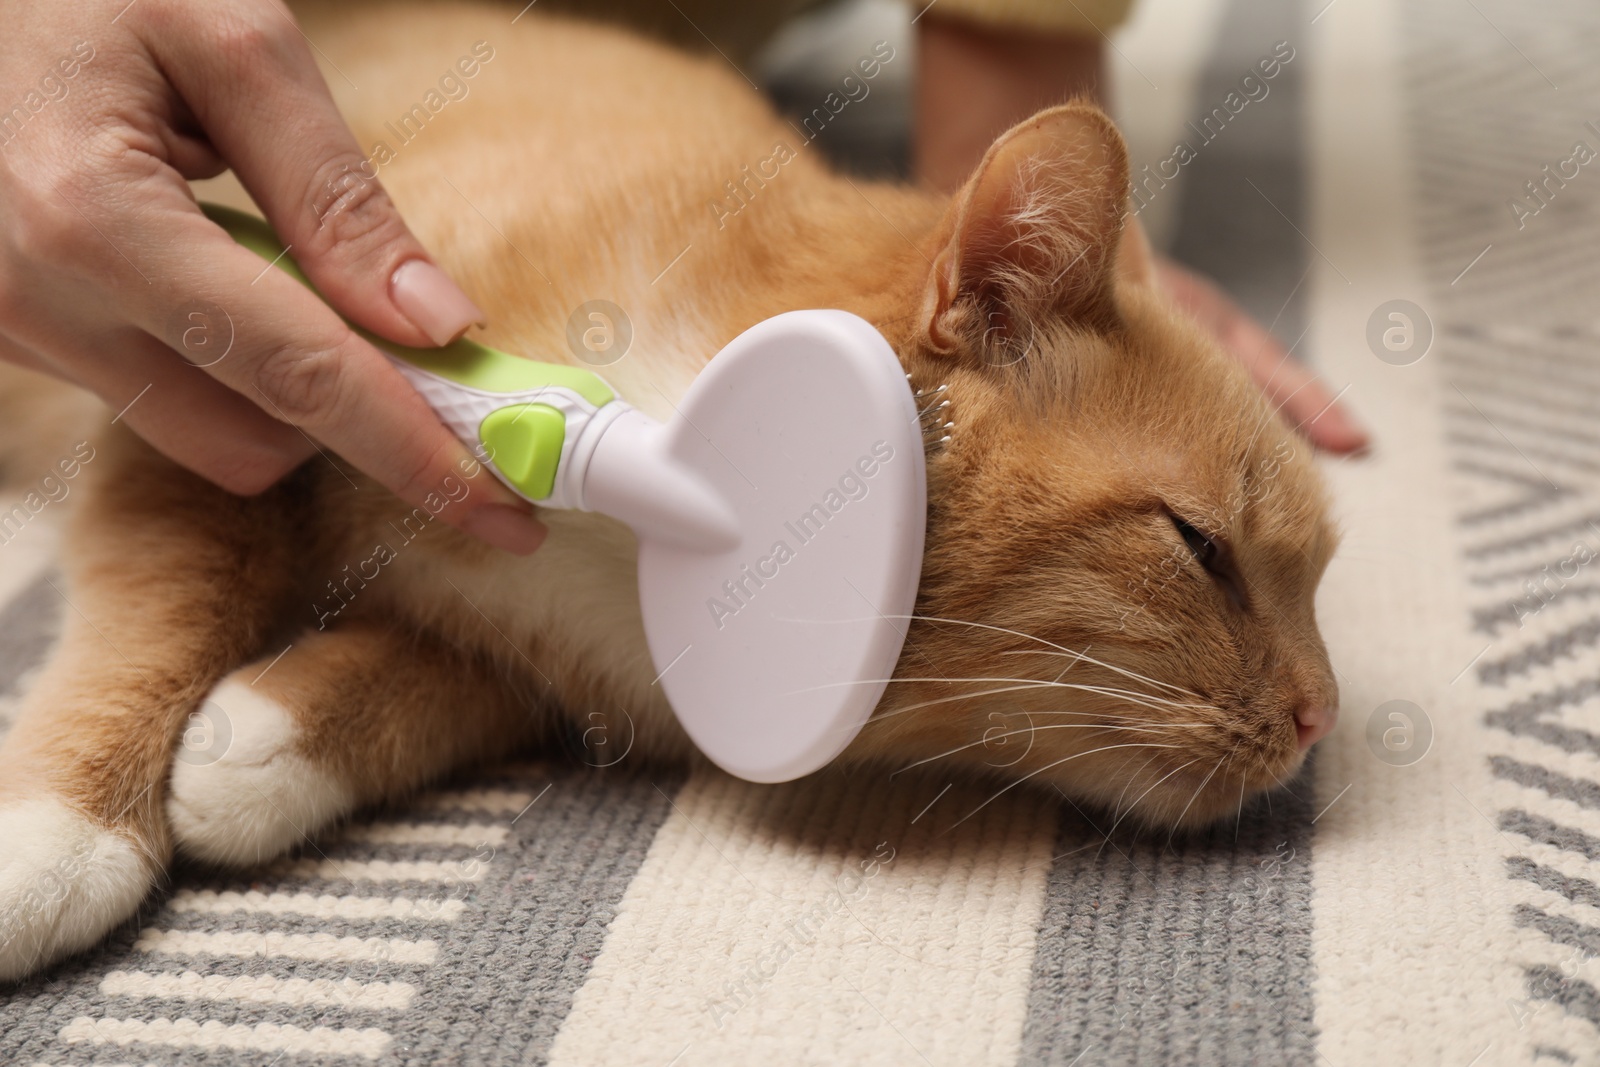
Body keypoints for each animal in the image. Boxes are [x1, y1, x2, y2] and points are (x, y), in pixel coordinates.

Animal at [0, 2, 1337, 985]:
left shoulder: (541, 662)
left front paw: (260, 739)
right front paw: (58, 823)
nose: (1320, 716)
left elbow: (409, 687)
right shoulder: (199, 405)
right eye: (1200, 546)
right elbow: (164, 607)